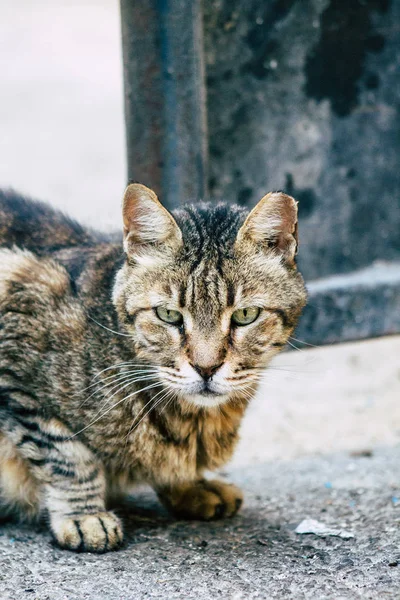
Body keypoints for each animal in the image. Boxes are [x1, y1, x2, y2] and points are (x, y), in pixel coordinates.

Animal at [0, 184, 306, 552]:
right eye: (168, 315)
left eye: (246, 316)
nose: (206, 367)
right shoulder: (16, 326)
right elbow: (65, 454)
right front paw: (84, 515)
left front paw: (190, 487)